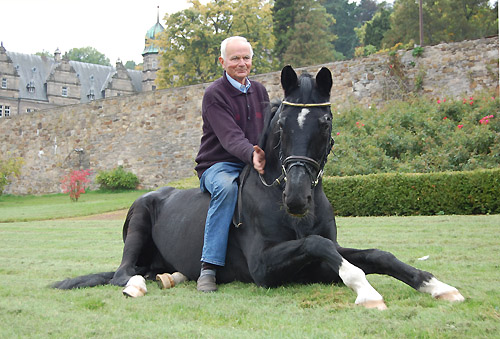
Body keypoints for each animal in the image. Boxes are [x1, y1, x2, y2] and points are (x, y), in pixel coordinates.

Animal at [54, 66, 464, 310]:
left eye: (326, 122)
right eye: (282, 123)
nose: (296, 197)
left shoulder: (324, 261)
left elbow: (375, 254)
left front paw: (435, 285)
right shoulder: (264, 268)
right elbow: (320, 245)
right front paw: (366, 292)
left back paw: (175, 276)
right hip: (138, 220)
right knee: (124, 273)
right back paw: (141, 284)